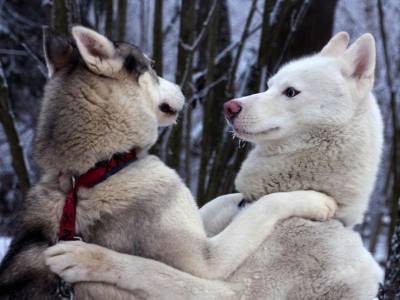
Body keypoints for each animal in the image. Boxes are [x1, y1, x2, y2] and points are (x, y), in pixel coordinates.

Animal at [0, 26, 334, 300]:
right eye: (152, 66)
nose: (185, 89)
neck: (97, 169)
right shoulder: (207, 260)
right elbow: (264, 208)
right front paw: (316, 200)